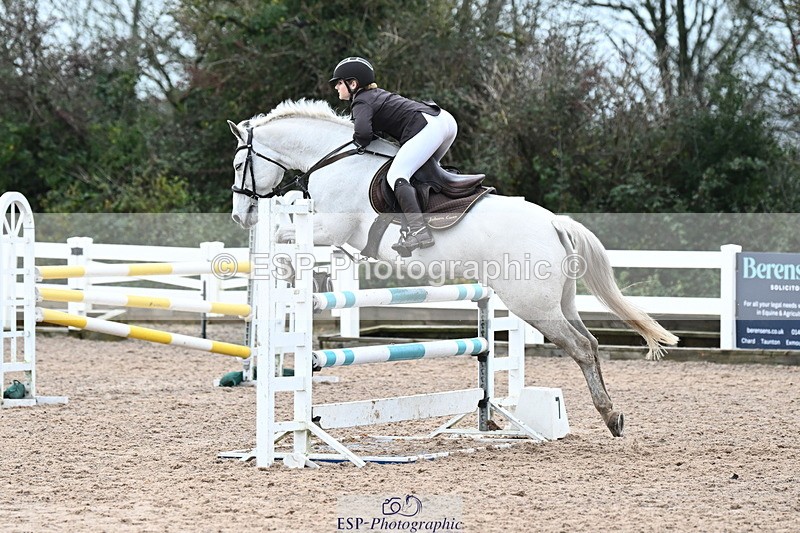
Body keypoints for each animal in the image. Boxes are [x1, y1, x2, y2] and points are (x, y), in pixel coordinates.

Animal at [227, 99, 678, 437]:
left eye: (236, 165)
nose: (240, 216)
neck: (333, 160)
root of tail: (554, 223)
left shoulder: (329, 226)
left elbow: (284, 235)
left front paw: (288, 271)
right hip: (559, 301)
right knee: (592, 343)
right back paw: (608, 415)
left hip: (533, 305)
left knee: (581, 347)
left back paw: (609, 415)